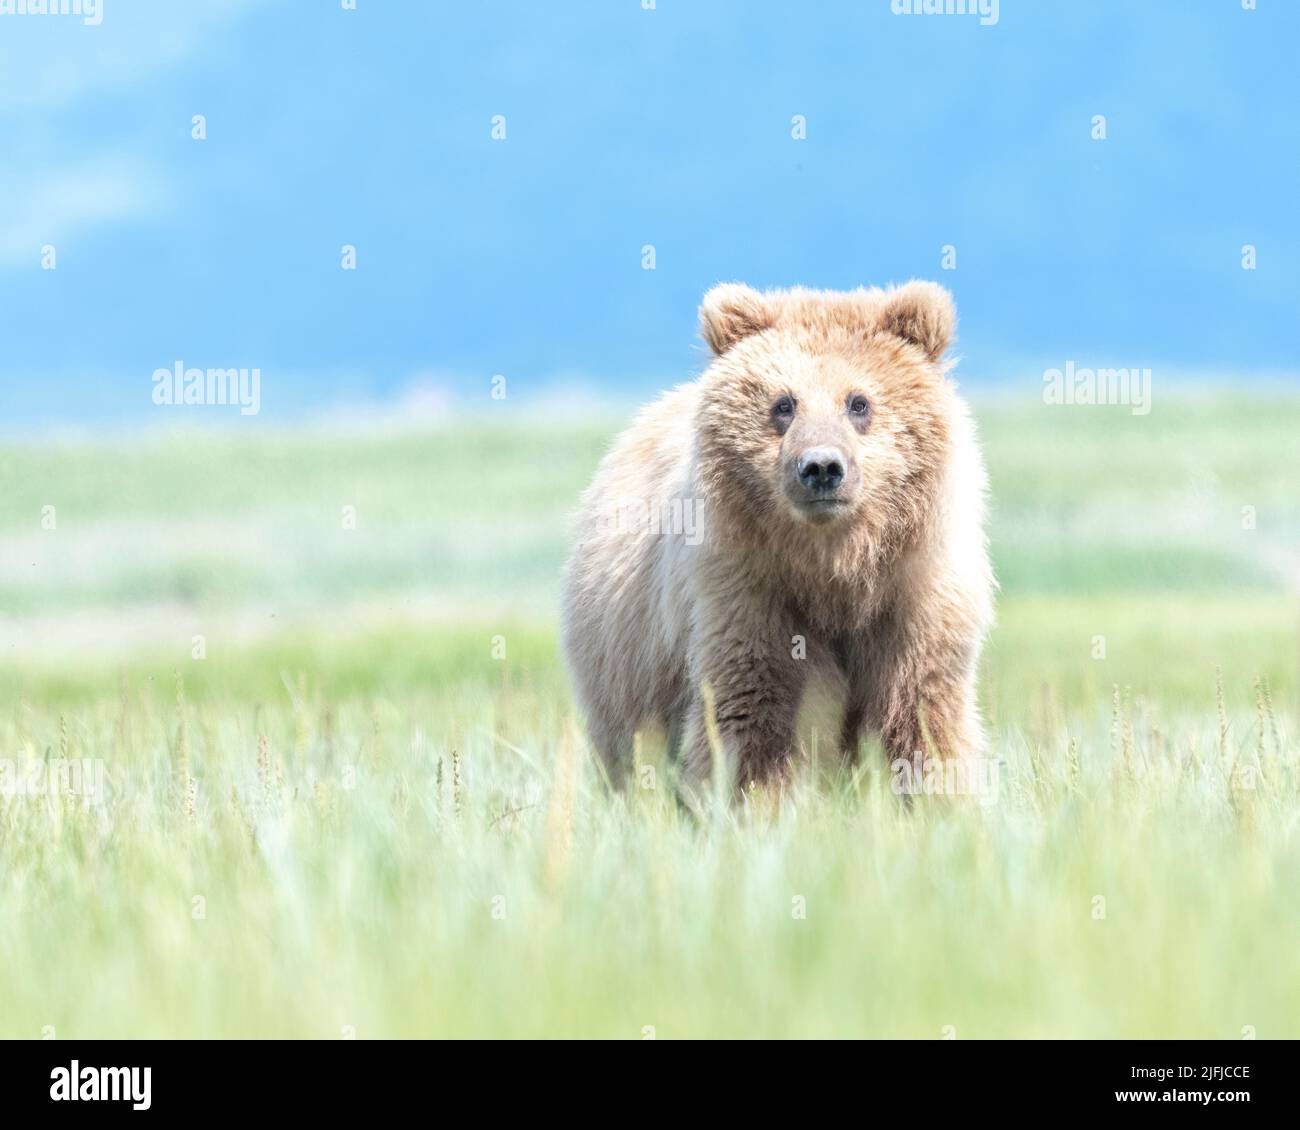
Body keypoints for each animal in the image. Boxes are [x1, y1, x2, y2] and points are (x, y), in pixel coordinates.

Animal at [561, 280, 993, 790]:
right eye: (783, 404)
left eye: (859, 402)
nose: (822, 467)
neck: (835, 567)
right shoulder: (748, 592)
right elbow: (754, 714)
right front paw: (756, 795)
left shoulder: (916, 597)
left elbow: (921, 714)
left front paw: (937, 794)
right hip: (626, 655)